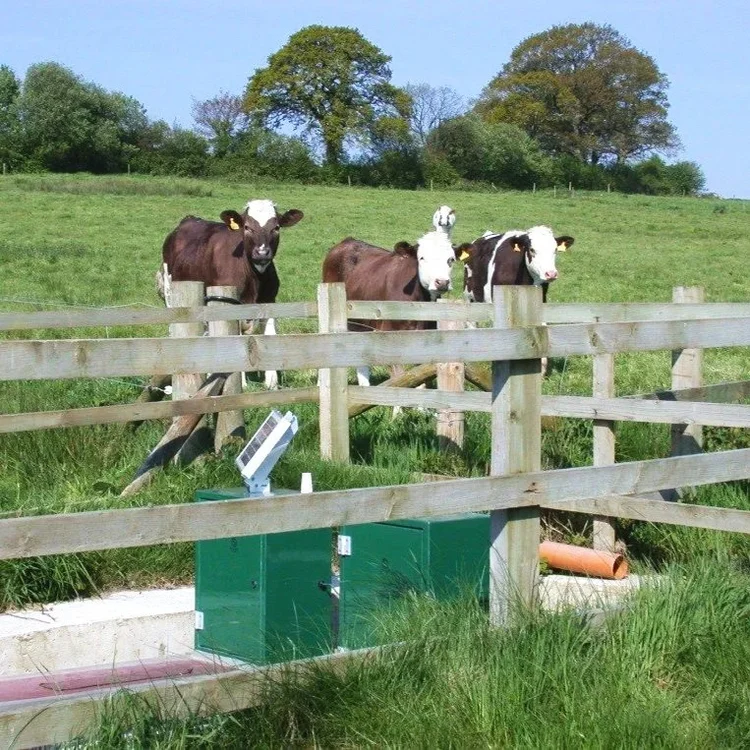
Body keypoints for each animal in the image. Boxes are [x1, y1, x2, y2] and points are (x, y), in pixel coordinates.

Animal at [157, 199, 304, 390]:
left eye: (276, 227)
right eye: (247, 227)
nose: (262, 253)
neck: (254, 279)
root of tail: (189, 219)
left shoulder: (270, 301)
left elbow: (270, 334)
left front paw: (271, 383)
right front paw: (241, 383)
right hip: (170, 293)